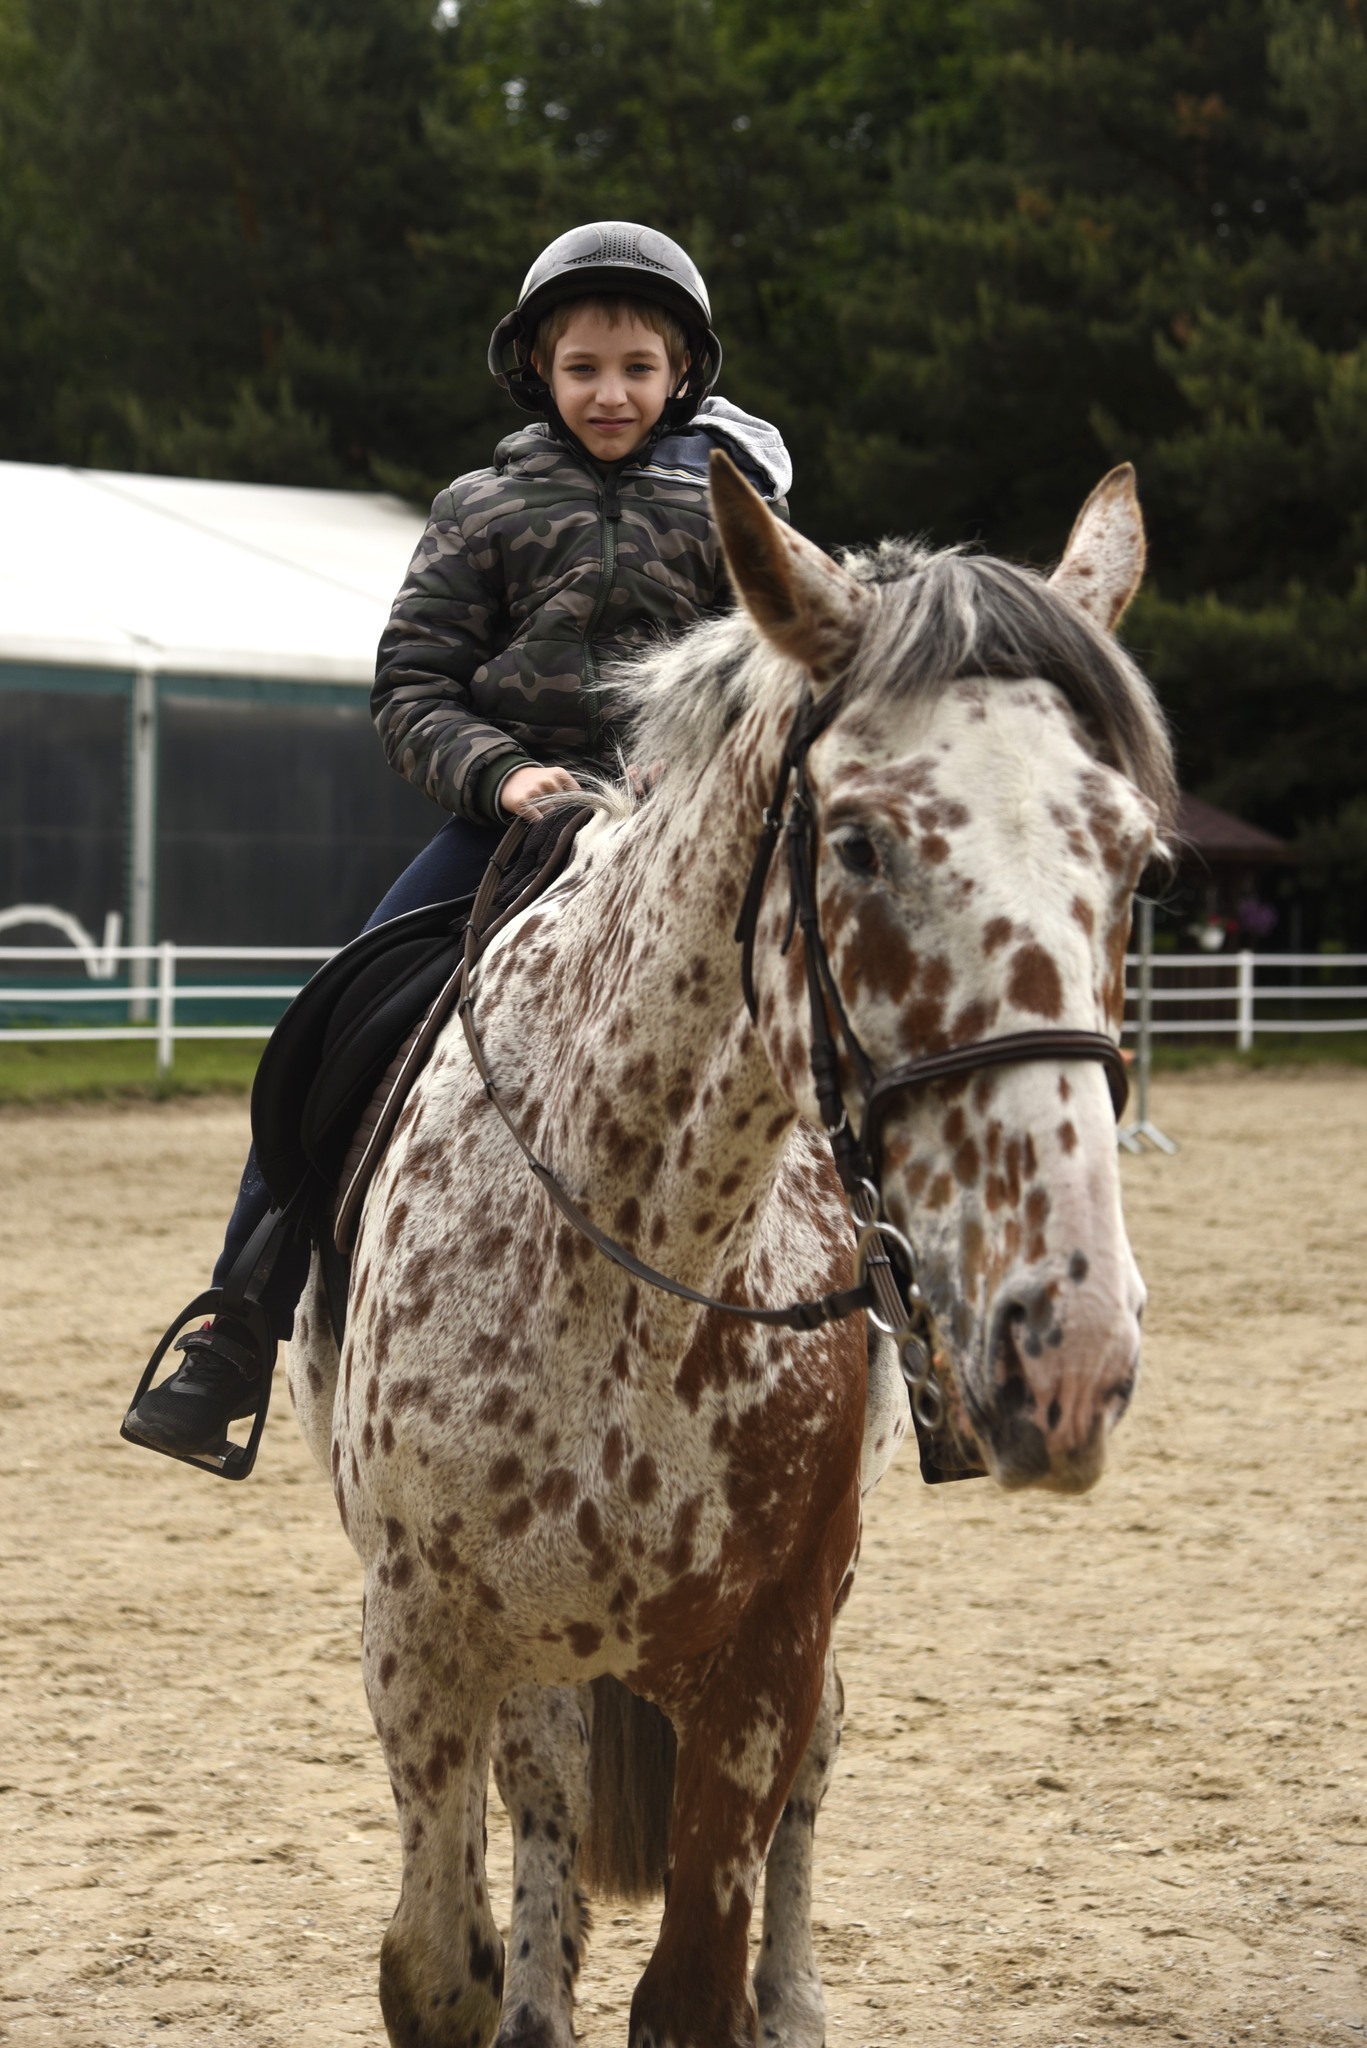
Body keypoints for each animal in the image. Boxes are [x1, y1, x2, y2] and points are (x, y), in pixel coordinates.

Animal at [287, 453, 1174, 2048]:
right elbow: (437, 1966)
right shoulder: (421, 1637)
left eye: (1133, 862)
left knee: (806, 1784)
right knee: (546, 1803)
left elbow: (700, 1974)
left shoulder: (767, 1646)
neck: (632, 1253)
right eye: (859, 841)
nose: (1066, 1348)